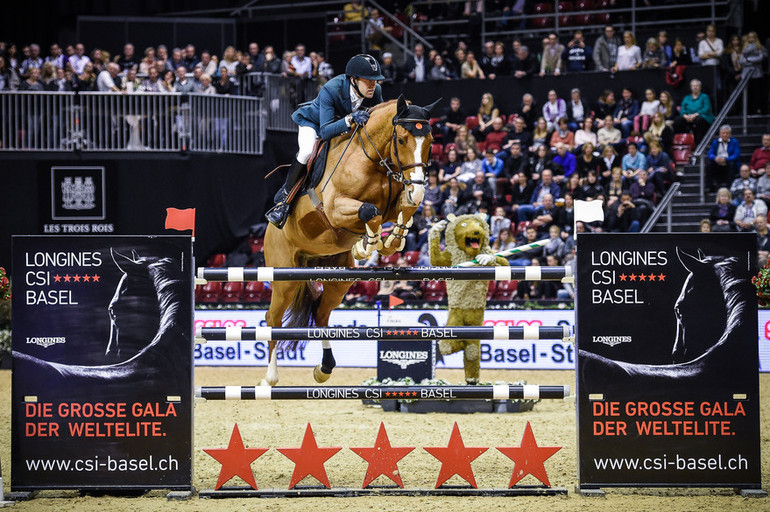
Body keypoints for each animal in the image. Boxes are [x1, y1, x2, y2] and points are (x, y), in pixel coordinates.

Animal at [262, 95, 438, 384]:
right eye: (402, 140)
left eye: (431, 141)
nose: (419, 187)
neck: (372, 159)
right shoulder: (336, 208)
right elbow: (370, 212)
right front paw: (368, 245)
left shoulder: (394, 205)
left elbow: (405, 209)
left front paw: (389, 241)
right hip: (285, 278)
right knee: (272, 319)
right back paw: (271, 377)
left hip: (339, 278)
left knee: (321, 313)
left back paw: (324, 368)